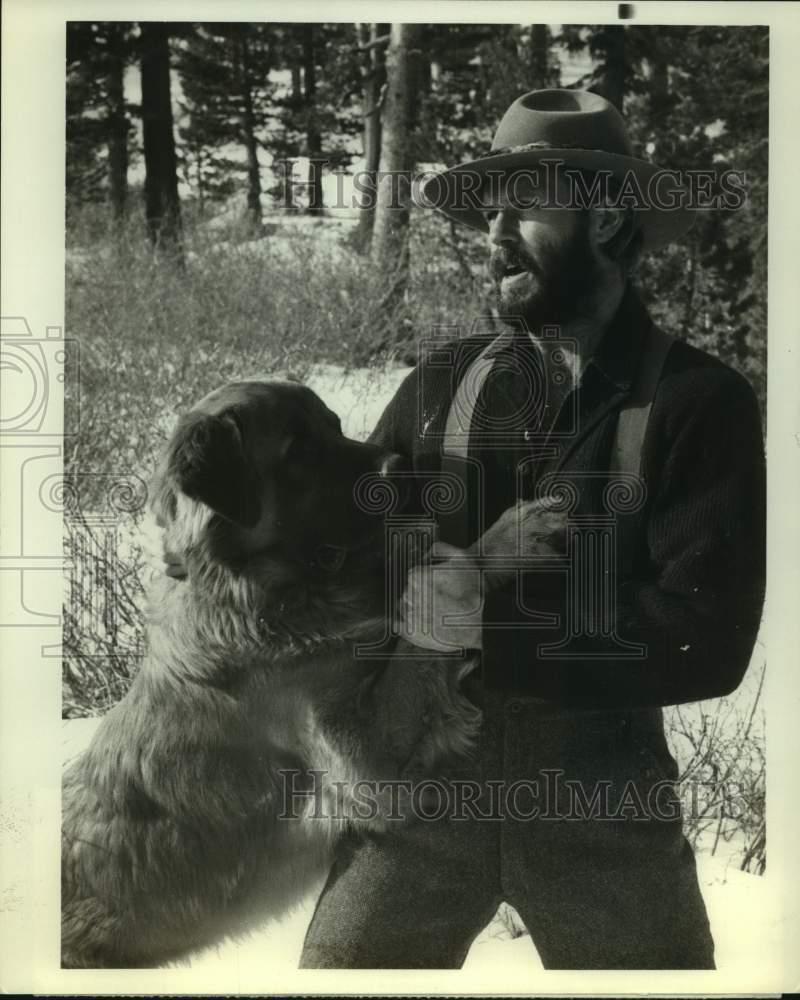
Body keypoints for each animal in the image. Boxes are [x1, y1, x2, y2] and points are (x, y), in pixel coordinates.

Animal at [61, 376, 564, 968]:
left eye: (335, 426)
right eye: (296, 449)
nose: (404, 466)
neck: (273, 590)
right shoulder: (364, 759)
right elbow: (417, 633)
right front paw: (508, 539)